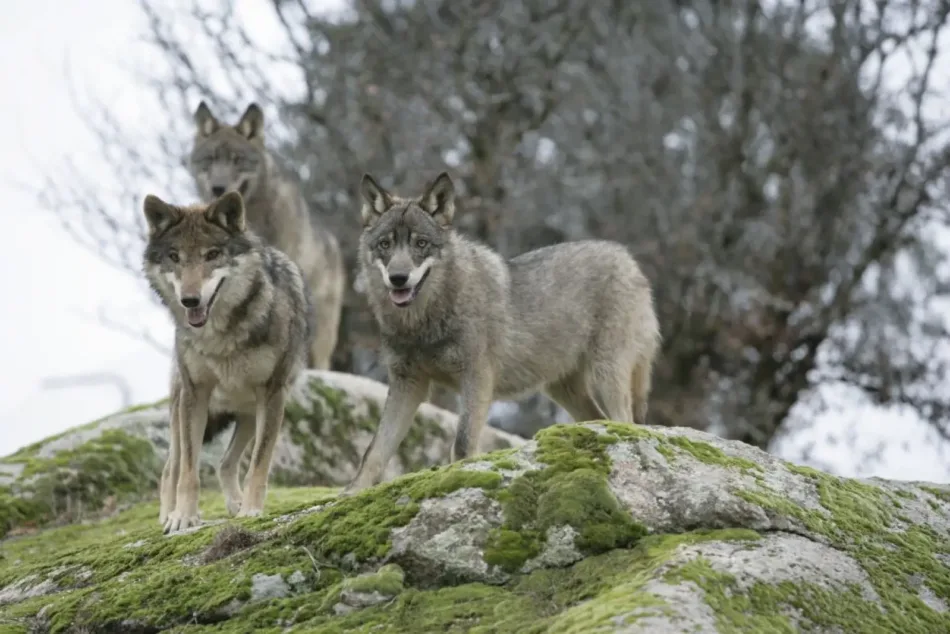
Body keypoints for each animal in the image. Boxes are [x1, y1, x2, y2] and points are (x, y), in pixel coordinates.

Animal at [143, 190, 312, 532]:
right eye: (174, 257)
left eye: (212, 255)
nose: (190, 300)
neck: (220, 336)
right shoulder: (195, 395)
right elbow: (189, 472)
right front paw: (183, 517)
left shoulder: (272, 394)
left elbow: (259, 464)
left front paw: (250, 510)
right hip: (182, 410)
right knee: (171, 469)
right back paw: (168, 515)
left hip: (248, 413)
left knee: (224, 463)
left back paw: (235, 504)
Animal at [342, 170, 660, 492]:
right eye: (385, 244)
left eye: (420, 244)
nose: (398, 278)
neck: (424, 322)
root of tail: (629, 259)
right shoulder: (407, 384)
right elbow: (374, 451)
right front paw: (352, 492)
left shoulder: (477, 378)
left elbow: (462, 444)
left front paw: (459, 478)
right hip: (564, 389)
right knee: (600, 420)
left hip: (605, 375)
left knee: (626, 421)